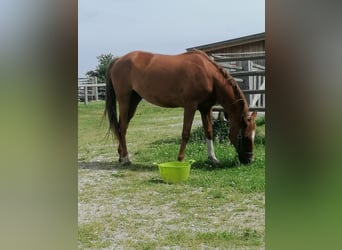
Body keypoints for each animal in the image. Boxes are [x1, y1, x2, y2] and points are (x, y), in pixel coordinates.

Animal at [104, 49, 256, 165]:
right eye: (244, 136)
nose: (249, 160)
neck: (209, 75)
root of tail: (118, 60)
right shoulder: (190, 106)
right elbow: (185, 133)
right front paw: (180, 159)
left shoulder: (205, 108)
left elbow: (209, 132)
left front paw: (213, 158)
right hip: (124, 99)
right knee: (123, 127)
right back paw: (125, 158)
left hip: (134, 100)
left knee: (122, 127)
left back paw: (121, 155)